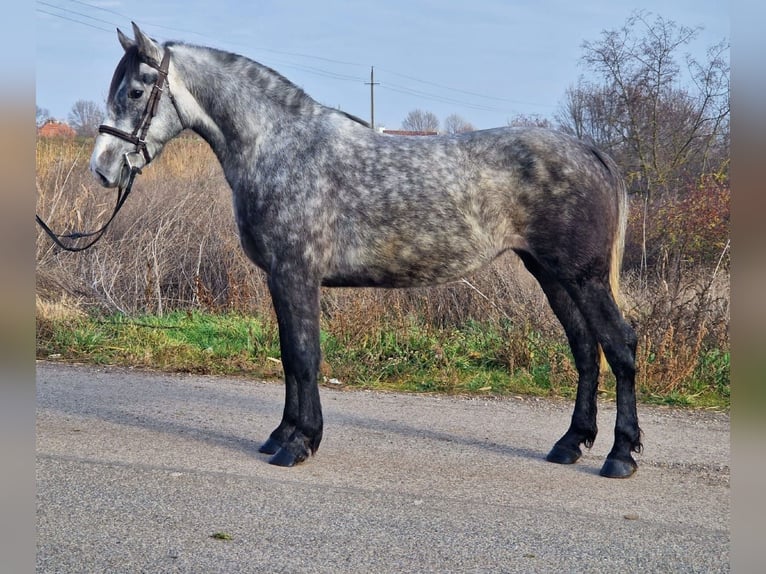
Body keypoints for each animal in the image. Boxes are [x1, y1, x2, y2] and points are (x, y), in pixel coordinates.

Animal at [90, 22, 640, 480]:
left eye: (135, 91)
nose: (103, 169)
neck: (280, 148)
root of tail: (589, 150)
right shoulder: (279, 278)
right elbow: (289, 356)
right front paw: (281, 435)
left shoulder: (295, 274)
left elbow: (304, 356)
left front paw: (299, 444)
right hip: (552, 275)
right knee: (585, 350)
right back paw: (570, 444)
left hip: (583, 277)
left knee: (619, 346)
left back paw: (620, 455)